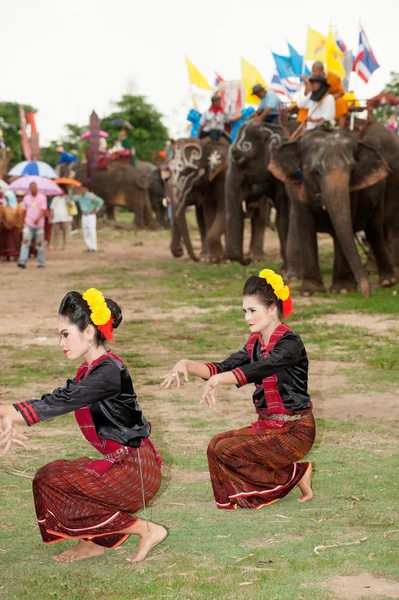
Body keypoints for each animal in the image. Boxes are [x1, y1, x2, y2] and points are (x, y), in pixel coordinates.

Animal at [268, 127, 396, 296]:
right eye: (315, 172)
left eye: (352, 171)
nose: (367, 294)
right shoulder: (298, 193)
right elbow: (306, 227)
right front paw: (310, 292)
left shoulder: (352, 193)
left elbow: (341, 229)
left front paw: (342, 289)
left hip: (379, 196)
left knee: (374, 230)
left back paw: (388, 282)